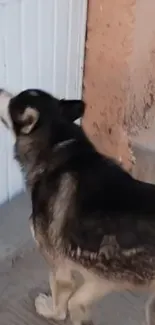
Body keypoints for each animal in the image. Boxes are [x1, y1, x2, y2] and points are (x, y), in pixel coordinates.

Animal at [0, 87, 155, 322]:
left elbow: (62, 297)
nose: (0, 89)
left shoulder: (59, 265)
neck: (56, 143)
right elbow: (77, 299)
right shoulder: (99, 277)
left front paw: (52, 311)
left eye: (12, 101)